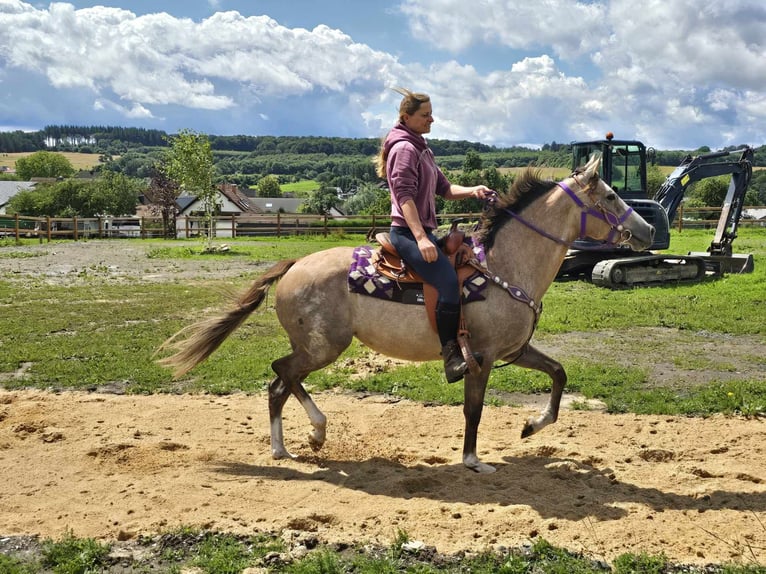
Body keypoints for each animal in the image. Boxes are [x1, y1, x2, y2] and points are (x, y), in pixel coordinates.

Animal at [159, 153, 656, 472]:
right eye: (611, 197)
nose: (648, 230)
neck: (504, 265)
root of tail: (295, 264)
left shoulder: (515, 350)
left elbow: (558, 374)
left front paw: (531, 428)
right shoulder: (482, 358)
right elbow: (473, 410)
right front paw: (473, 461)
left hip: (317, 347)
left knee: (280, 382)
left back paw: (295, 444)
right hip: (322, 347)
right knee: (280, 377)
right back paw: (306, 438)